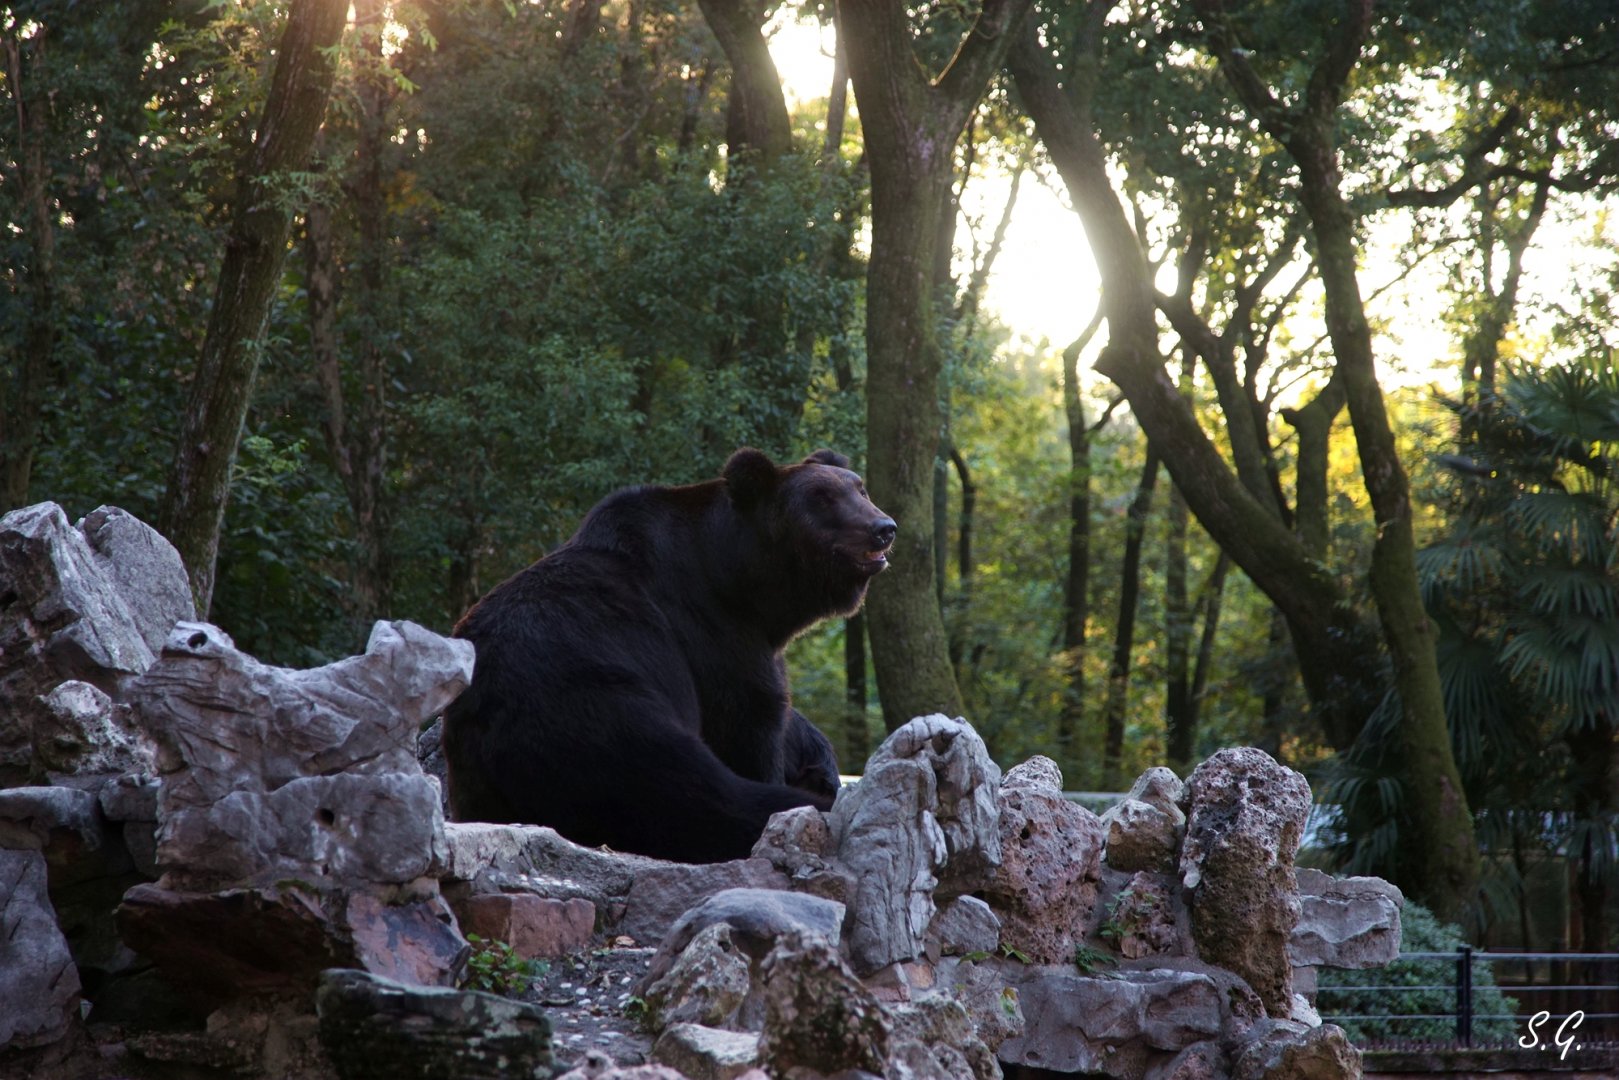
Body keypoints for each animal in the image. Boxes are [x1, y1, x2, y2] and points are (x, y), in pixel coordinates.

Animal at [441, 447, 895, 863]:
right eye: (822, 498)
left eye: (859, 487)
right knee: (695, 791)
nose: (883, 527)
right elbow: (751, 718)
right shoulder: (713, 635)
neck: (740, 581)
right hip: (596, 708)